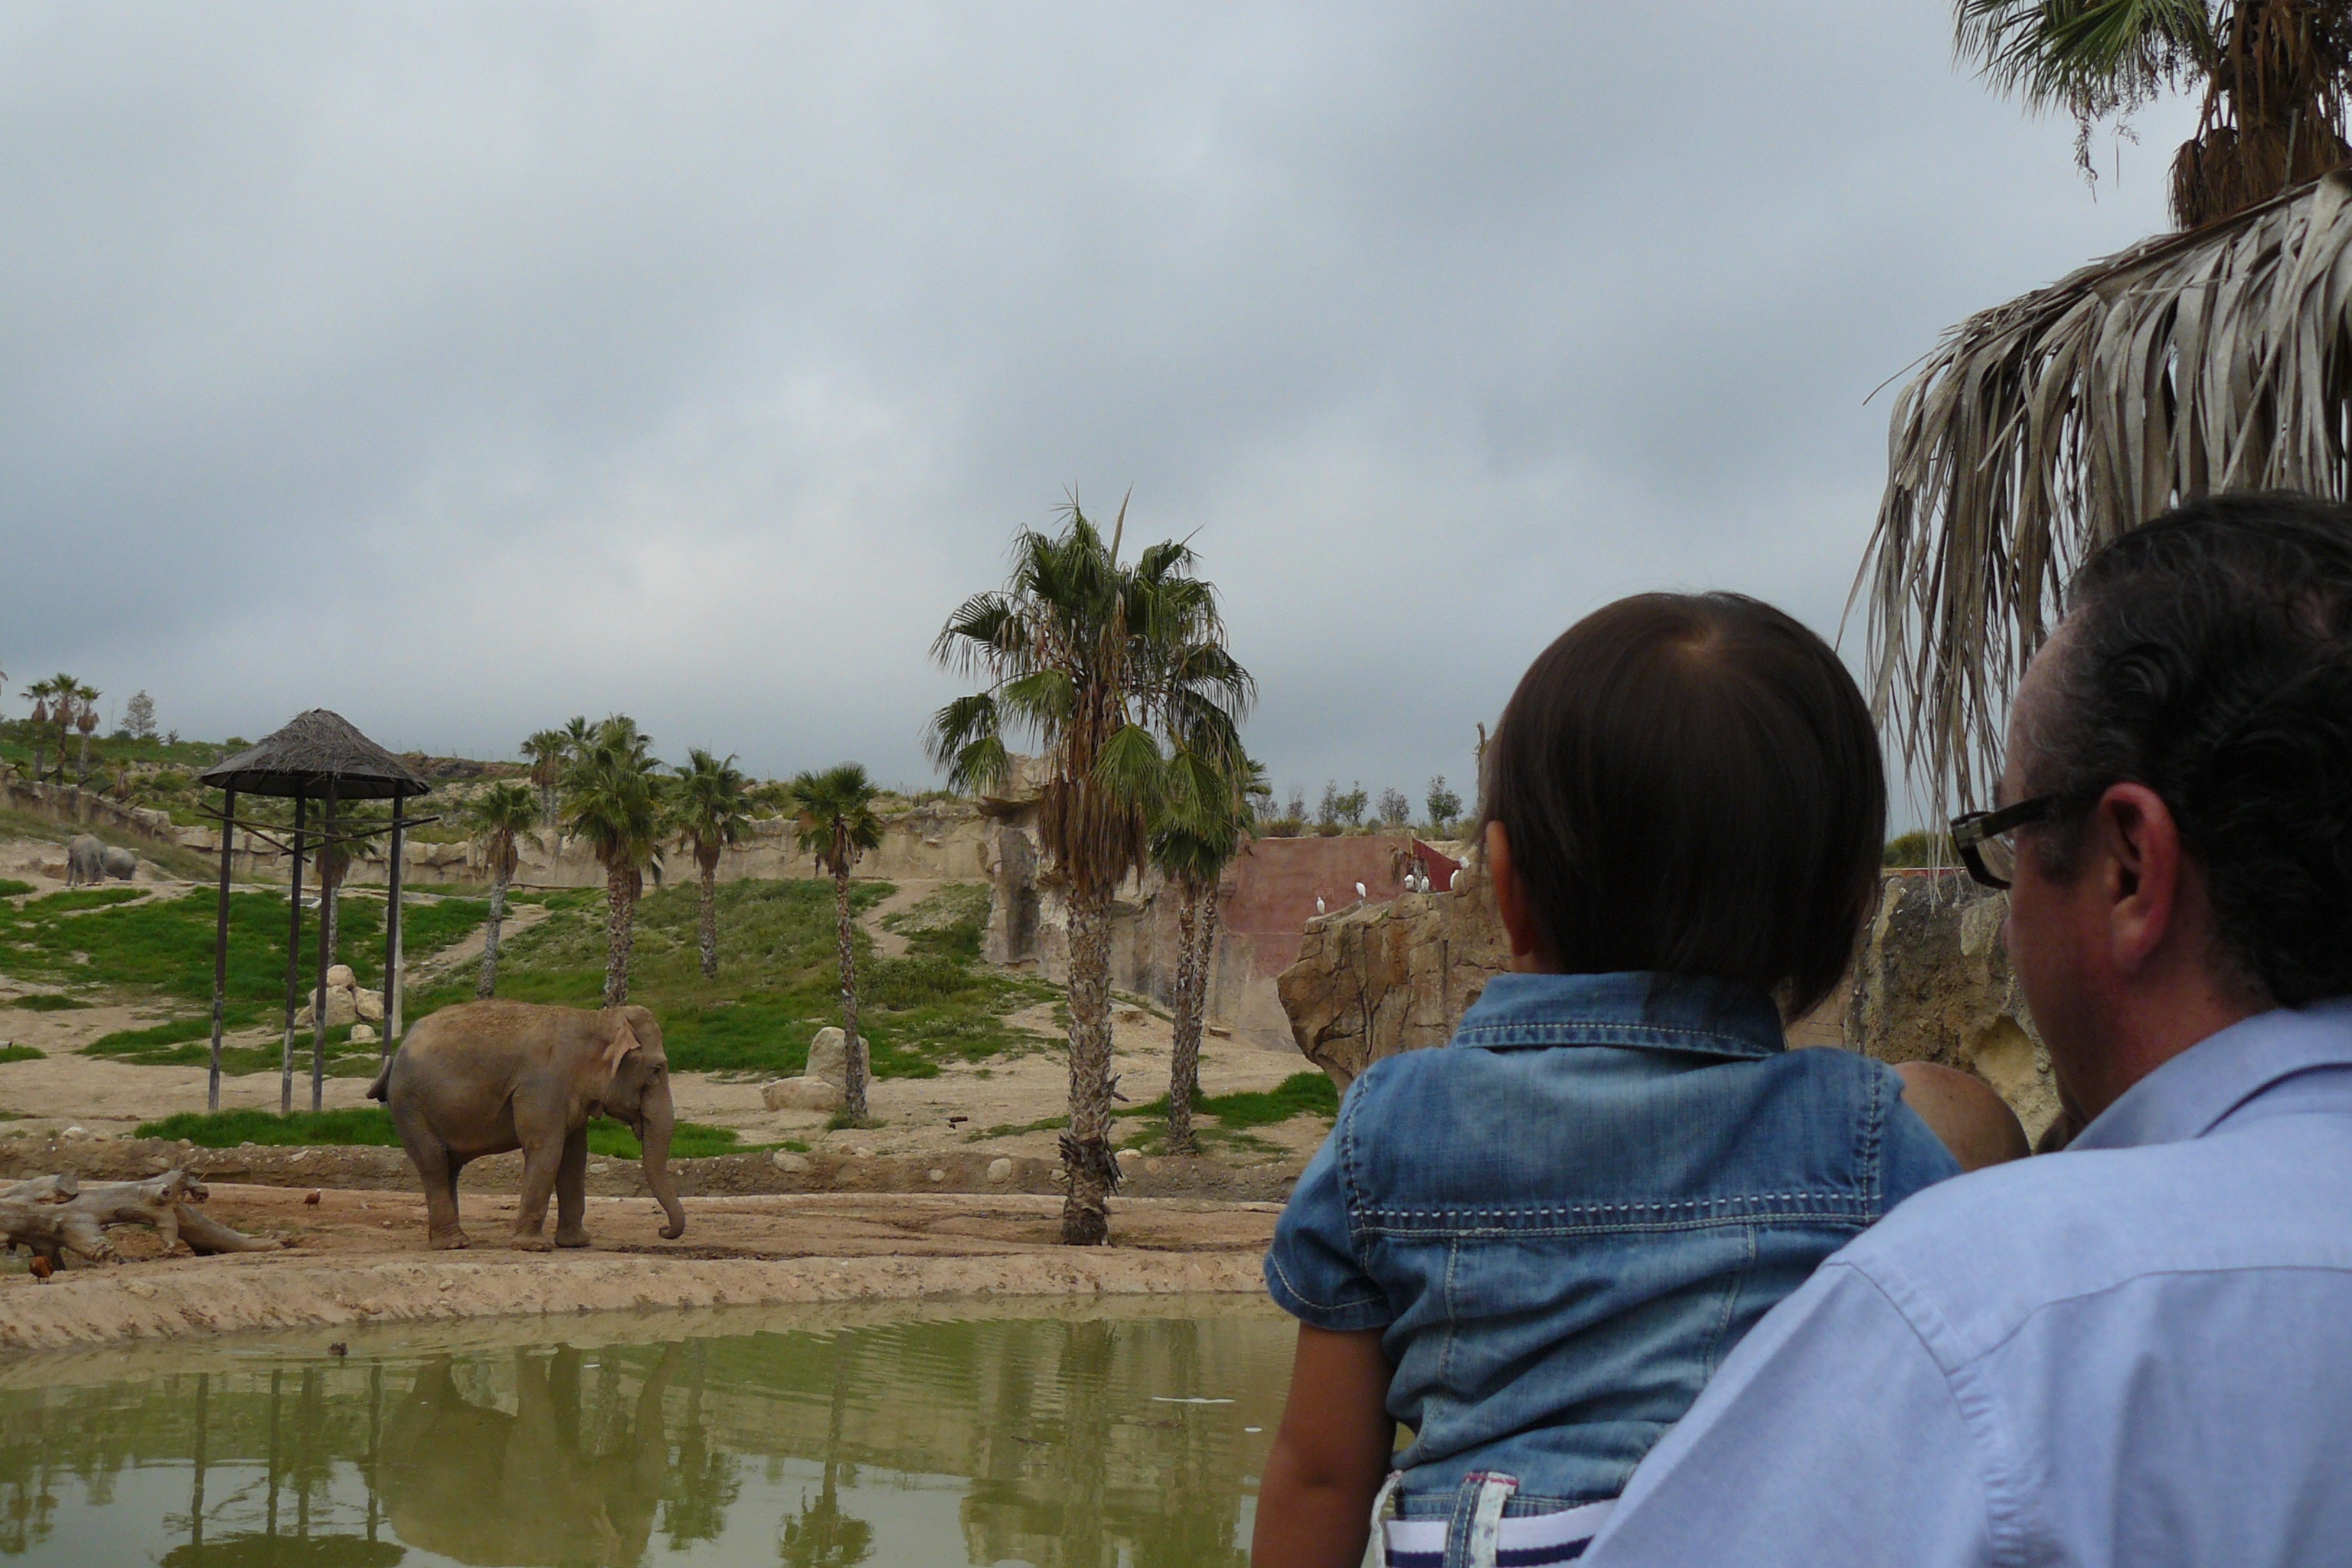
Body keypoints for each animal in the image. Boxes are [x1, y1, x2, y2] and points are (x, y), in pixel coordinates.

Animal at [362, 1006, 687, 1250]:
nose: (662, 1230)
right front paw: (534, 1246)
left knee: (448, 1168)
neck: (595, 1018)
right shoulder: (544, 1085)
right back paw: (454, 1244)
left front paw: (576, 1243)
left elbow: (574, 1158)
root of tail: (396, 1054)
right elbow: (546, 1149)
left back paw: (452, 1240)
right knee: (433, 1162)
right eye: (656, 1070)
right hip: (410, 1106)